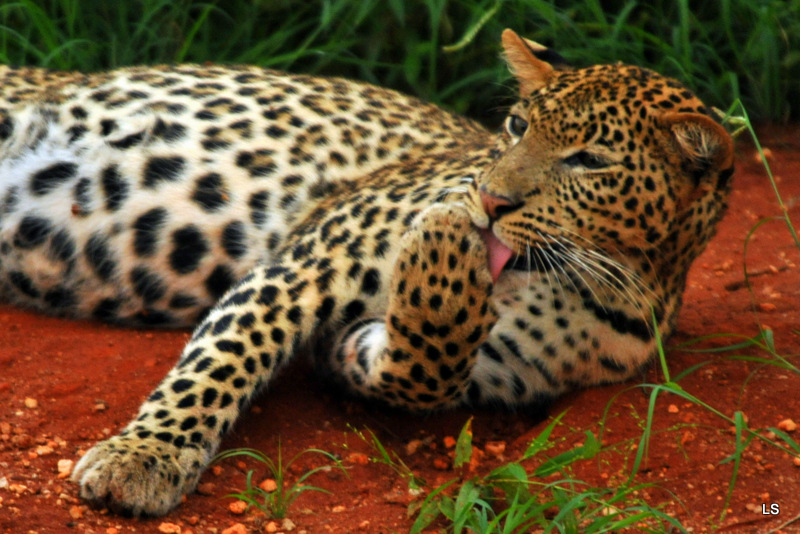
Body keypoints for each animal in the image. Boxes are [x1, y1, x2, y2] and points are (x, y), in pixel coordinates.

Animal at [0, 30, 732, 520]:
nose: (489, 201)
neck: (580, 278)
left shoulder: (439, 362)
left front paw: (441, 261)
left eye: (589, 161)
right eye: (517, 125)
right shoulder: (310, 262)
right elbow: (222, 361)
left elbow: (422, 370)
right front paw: (142, 459)